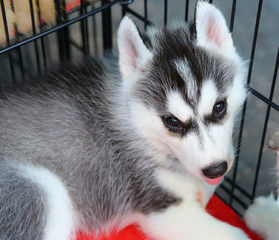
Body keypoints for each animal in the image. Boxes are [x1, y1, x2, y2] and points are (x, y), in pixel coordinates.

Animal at [0, 1, 249, 240]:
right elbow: (236, 233)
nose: (215, 169)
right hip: (39, 192)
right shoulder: (160, 208)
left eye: (219, 107)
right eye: (172, 121)